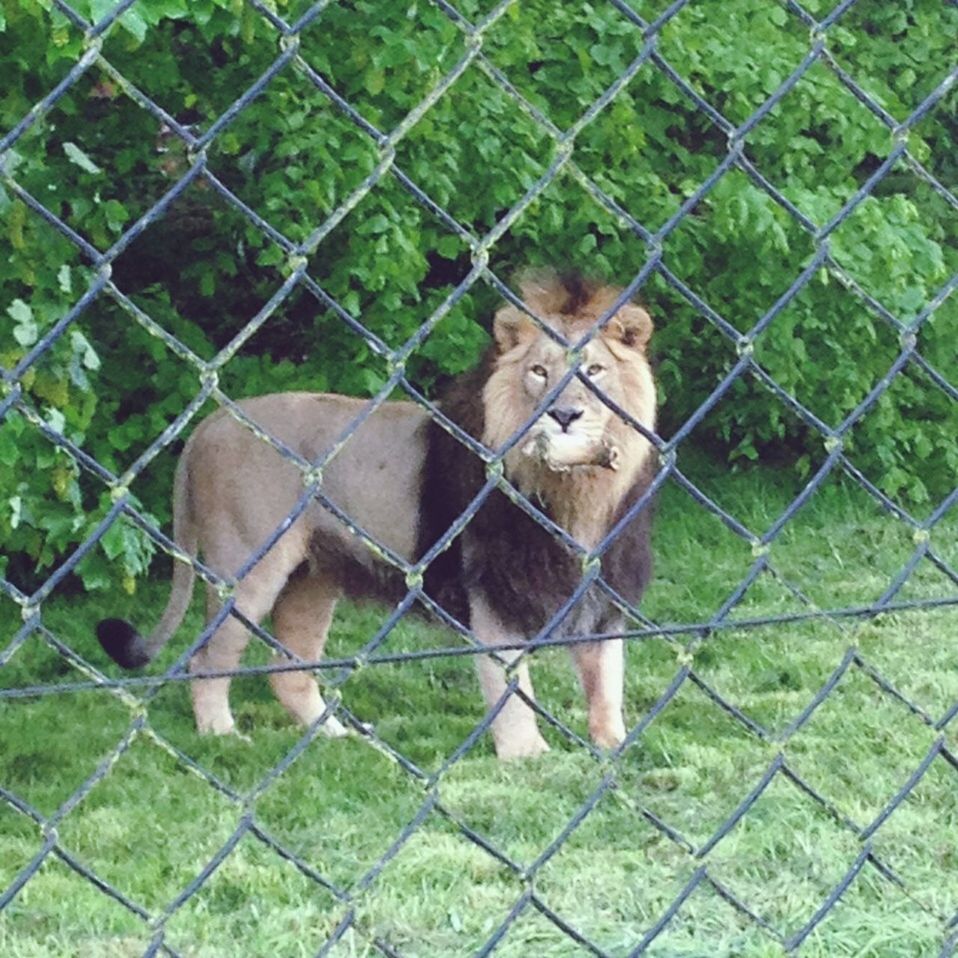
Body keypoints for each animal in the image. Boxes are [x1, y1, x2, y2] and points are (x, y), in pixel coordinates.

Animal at [97, 270, 656, 756]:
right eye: (539, 372)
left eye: (595, 371)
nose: (565, 415)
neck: (577, 492)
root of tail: (207, 426)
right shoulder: (493, 592)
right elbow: (511, 687)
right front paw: (527, 757)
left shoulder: (602, 588)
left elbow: (607, 676)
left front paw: (615, 746)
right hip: (246, 570)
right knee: (207, 657)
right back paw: (222, 736)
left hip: (311, 578)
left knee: (288, 667)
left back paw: (334, 737)